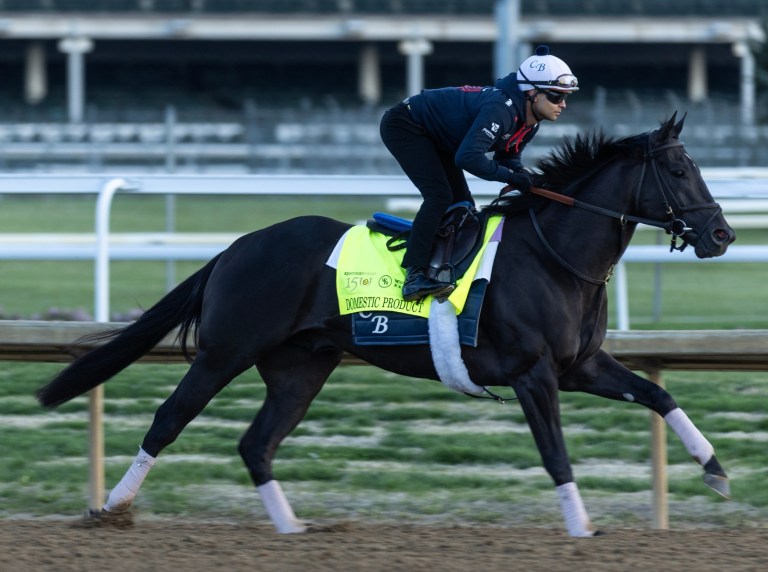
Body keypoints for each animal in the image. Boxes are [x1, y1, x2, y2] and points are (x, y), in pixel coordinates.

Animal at [37, 114, 735, 537]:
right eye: (680, 171)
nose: (722, 235)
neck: (553, 254)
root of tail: (237, 247)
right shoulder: (535, 374)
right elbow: (555, 453)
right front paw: (581, 526)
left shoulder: (581, 366)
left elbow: (658, 394)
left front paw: (715, 469)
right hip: (223, 352)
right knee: (169, 419)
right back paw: (113, 508)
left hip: (300, 367)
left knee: (256, 444)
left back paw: (290, 527)